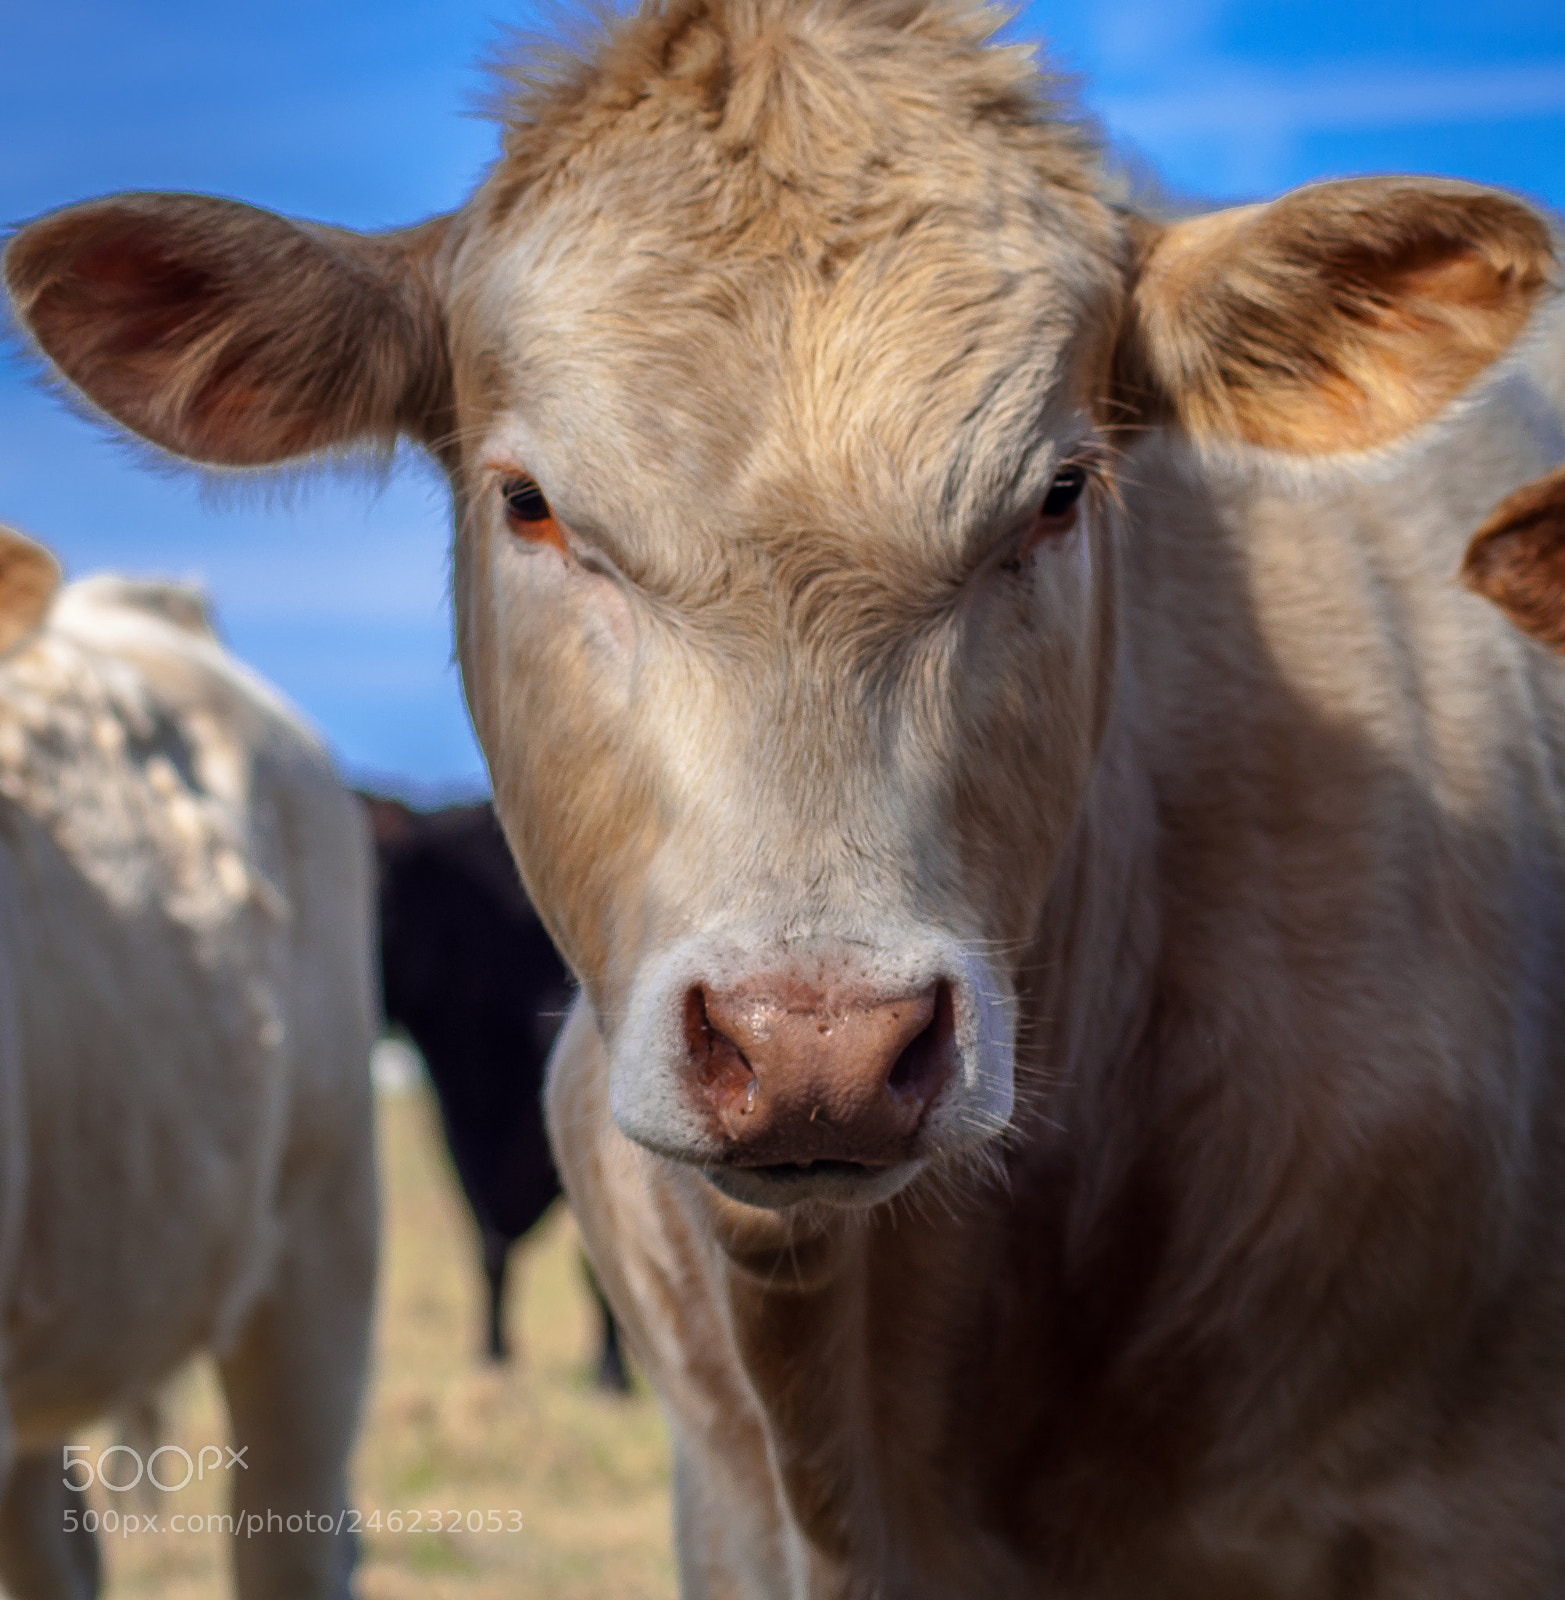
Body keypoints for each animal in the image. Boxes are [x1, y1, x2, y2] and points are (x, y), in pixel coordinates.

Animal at [362, 793, 628, 1388]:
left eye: (382, 880)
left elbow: (596, 1260)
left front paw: (610, 1376)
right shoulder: (457, 1128)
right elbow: (490, 1251)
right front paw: (492, 1359)